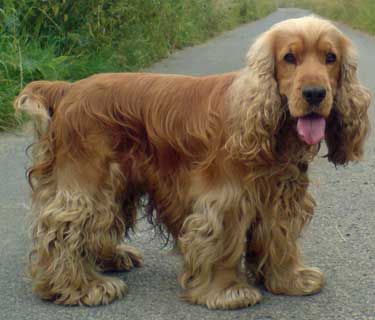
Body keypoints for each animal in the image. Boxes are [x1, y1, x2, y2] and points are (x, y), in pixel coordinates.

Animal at [13, 16, 370, 308]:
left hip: (117, 182)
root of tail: (68, 90)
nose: (314, 94)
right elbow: (224, 244)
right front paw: (227, 292)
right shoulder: (225, 199)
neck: (272, 127)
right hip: (88, 181)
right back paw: (80, 287)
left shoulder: (280, 195)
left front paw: (290, 280)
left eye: (330, 58)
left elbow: (280, 238)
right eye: (289, 58)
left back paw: (111, 258)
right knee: (64, 232)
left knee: (98, 226)